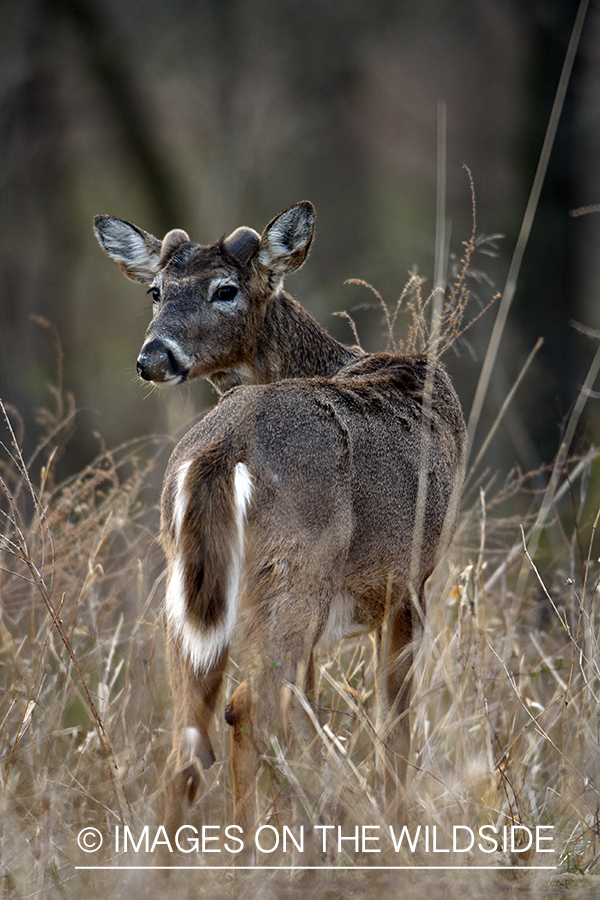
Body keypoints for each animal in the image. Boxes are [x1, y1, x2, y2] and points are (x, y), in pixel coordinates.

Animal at [95, 202, 468, 852]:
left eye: (226, 289)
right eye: (156, 290)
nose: (153, 356)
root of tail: (222, 447)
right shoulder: (411, 583)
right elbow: (394, 725)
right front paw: (394, 831)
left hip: (187, 589)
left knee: (190, 741)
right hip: (297, 575)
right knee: (255, 709)